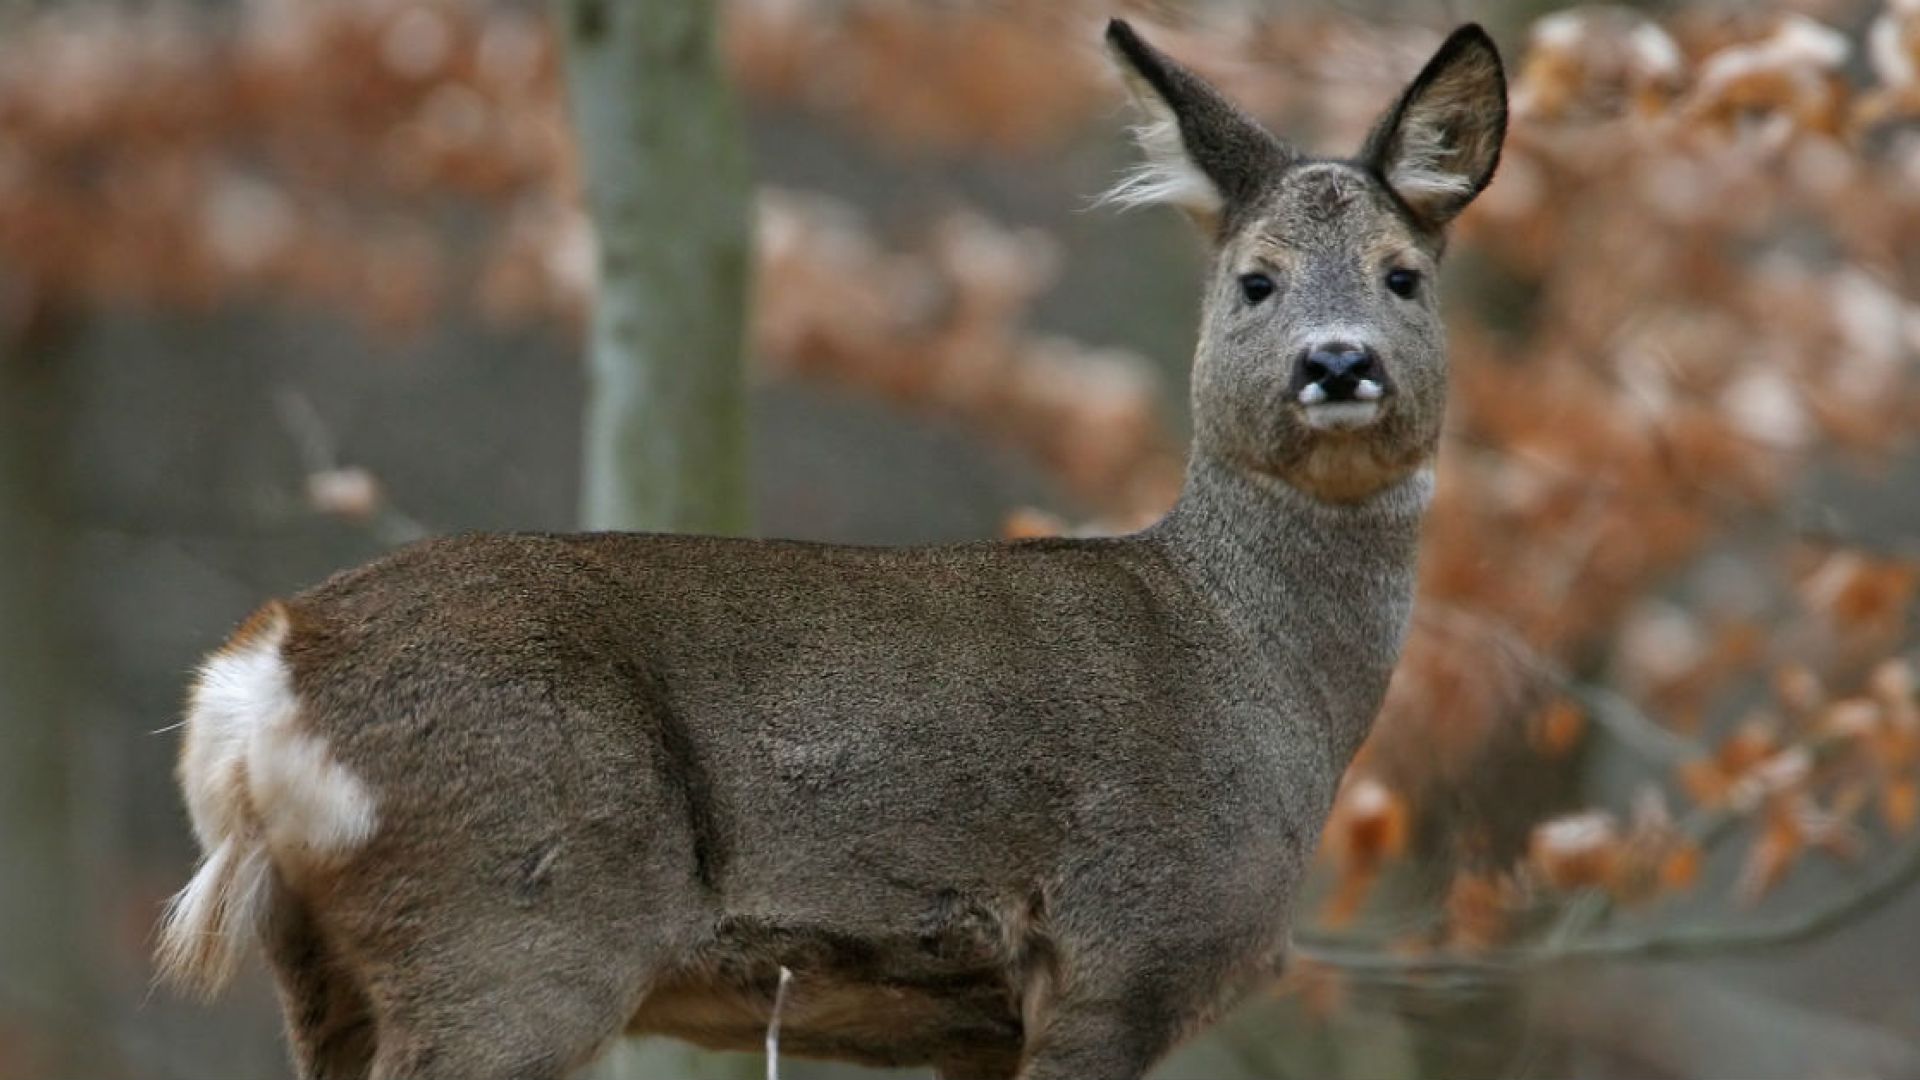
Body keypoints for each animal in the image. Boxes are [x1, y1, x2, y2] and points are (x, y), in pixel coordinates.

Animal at [157, 18, 1505, 1076]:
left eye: (1403, 276)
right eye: (1255, 282)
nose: (1340, 362)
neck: (1257, 669)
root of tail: (265, 671)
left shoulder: (981, 1024)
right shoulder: (1120, 942)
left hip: (324, 966)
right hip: (509, 925)